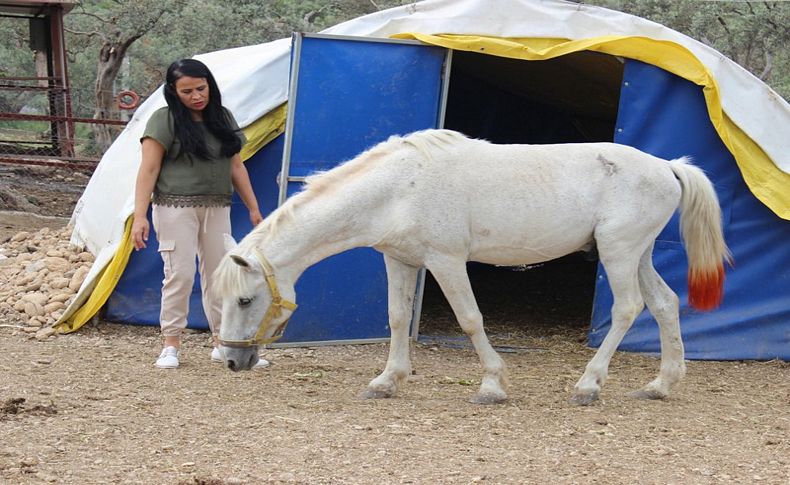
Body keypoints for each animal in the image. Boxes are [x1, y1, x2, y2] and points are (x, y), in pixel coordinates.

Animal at [215, 129, 732, 404]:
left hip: (619, 251)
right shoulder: (399, 260)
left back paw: (588, 385)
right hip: (638, 252)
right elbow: (397, 318)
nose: (234, 361)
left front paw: (491, 385)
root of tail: (667, 165)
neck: (399, 188)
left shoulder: (445, 261)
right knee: (664, 303)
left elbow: (470, 319)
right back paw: (661, 384)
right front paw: (386, 381)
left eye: (245, 299)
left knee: (627, 308)